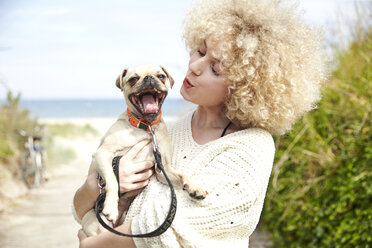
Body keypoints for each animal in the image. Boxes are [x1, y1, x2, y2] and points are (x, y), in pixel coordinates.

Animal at [74, 65, 208, 237]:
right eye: (133, 79)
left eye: (161, 76)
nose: (149, 78)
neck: (147, 127)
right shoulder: (102, 154)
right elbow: (113, 179)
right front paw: (111, 206)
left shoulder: (163, 170)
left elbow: (183, 175)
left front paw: (195, 188)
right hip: (97, 225)